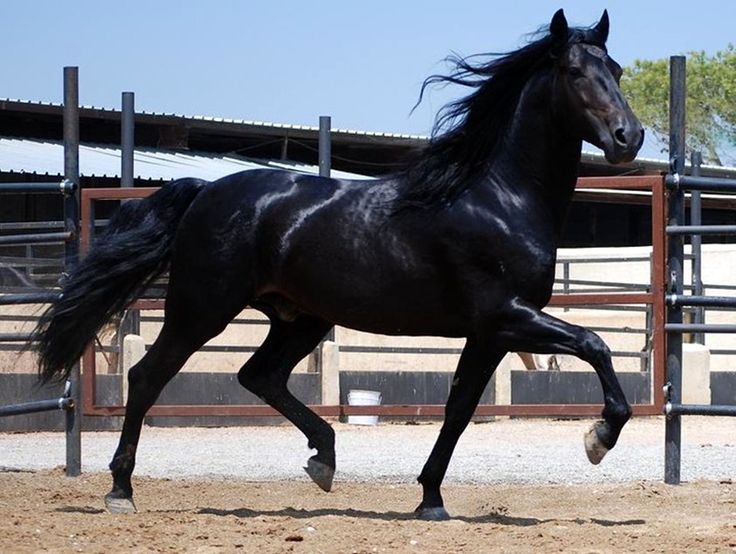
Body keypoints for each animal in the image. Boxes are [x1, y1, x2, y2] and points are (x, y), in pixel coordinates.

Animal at [36, 8, 644, 516]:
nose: (628, 136)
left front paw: (430, 499)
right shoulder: (508, 316)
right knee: (148, 377)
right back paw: (121, 490)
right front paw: (598, 439)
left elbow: (459, 409)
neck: (498, 198)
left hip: (301, 318)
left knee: (258, 375)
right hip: (202, 309)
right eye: (574, 71)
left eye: (614, 68)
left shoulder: (490, 333)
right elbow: (595, 343)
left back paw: (324, 459)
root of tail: (205, 190)